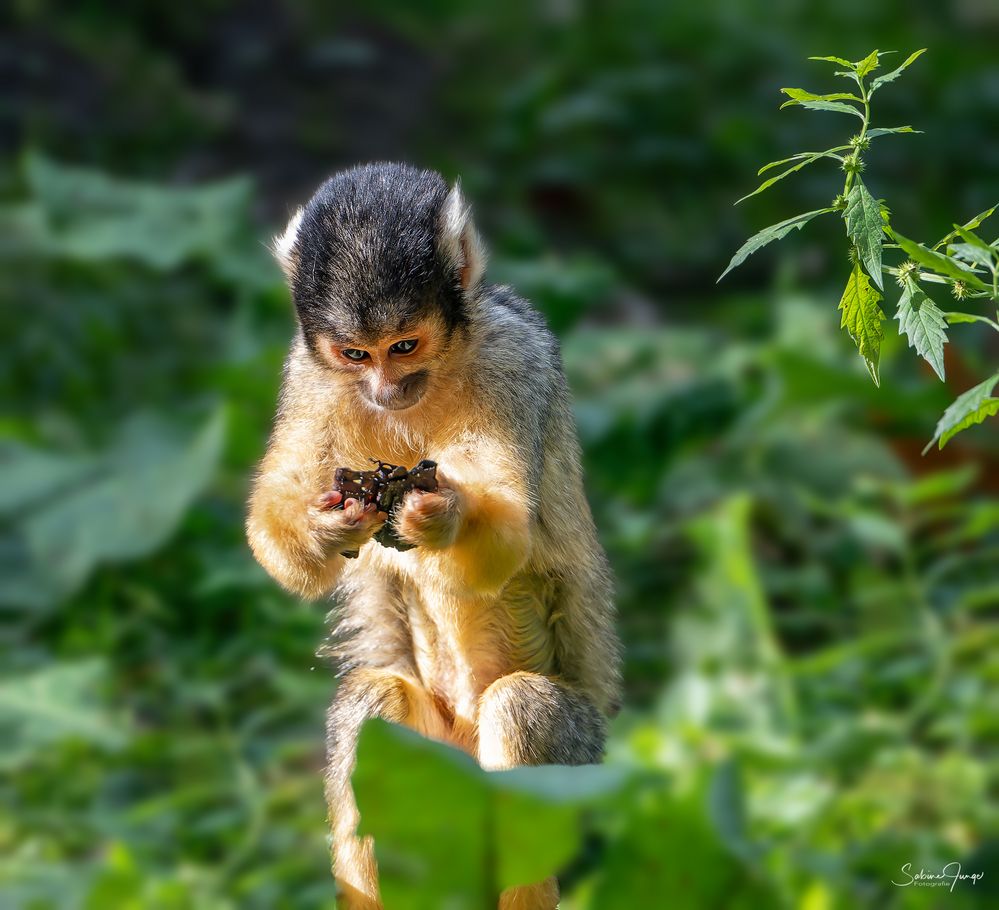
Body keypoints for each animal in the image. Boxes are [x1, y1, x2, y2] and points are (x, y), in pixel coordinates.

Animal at [247, 164, 620, 910]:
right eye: (356, 354)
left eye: (404, 347)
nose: (385, 389)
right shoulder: (306, 372)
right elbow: (276, 533)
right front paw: (327, 524)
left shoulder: (516, 359)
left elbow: (505, 539)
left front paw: (439, 515)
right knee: (371, 707)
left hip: (585, 762)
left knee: (524, 709)